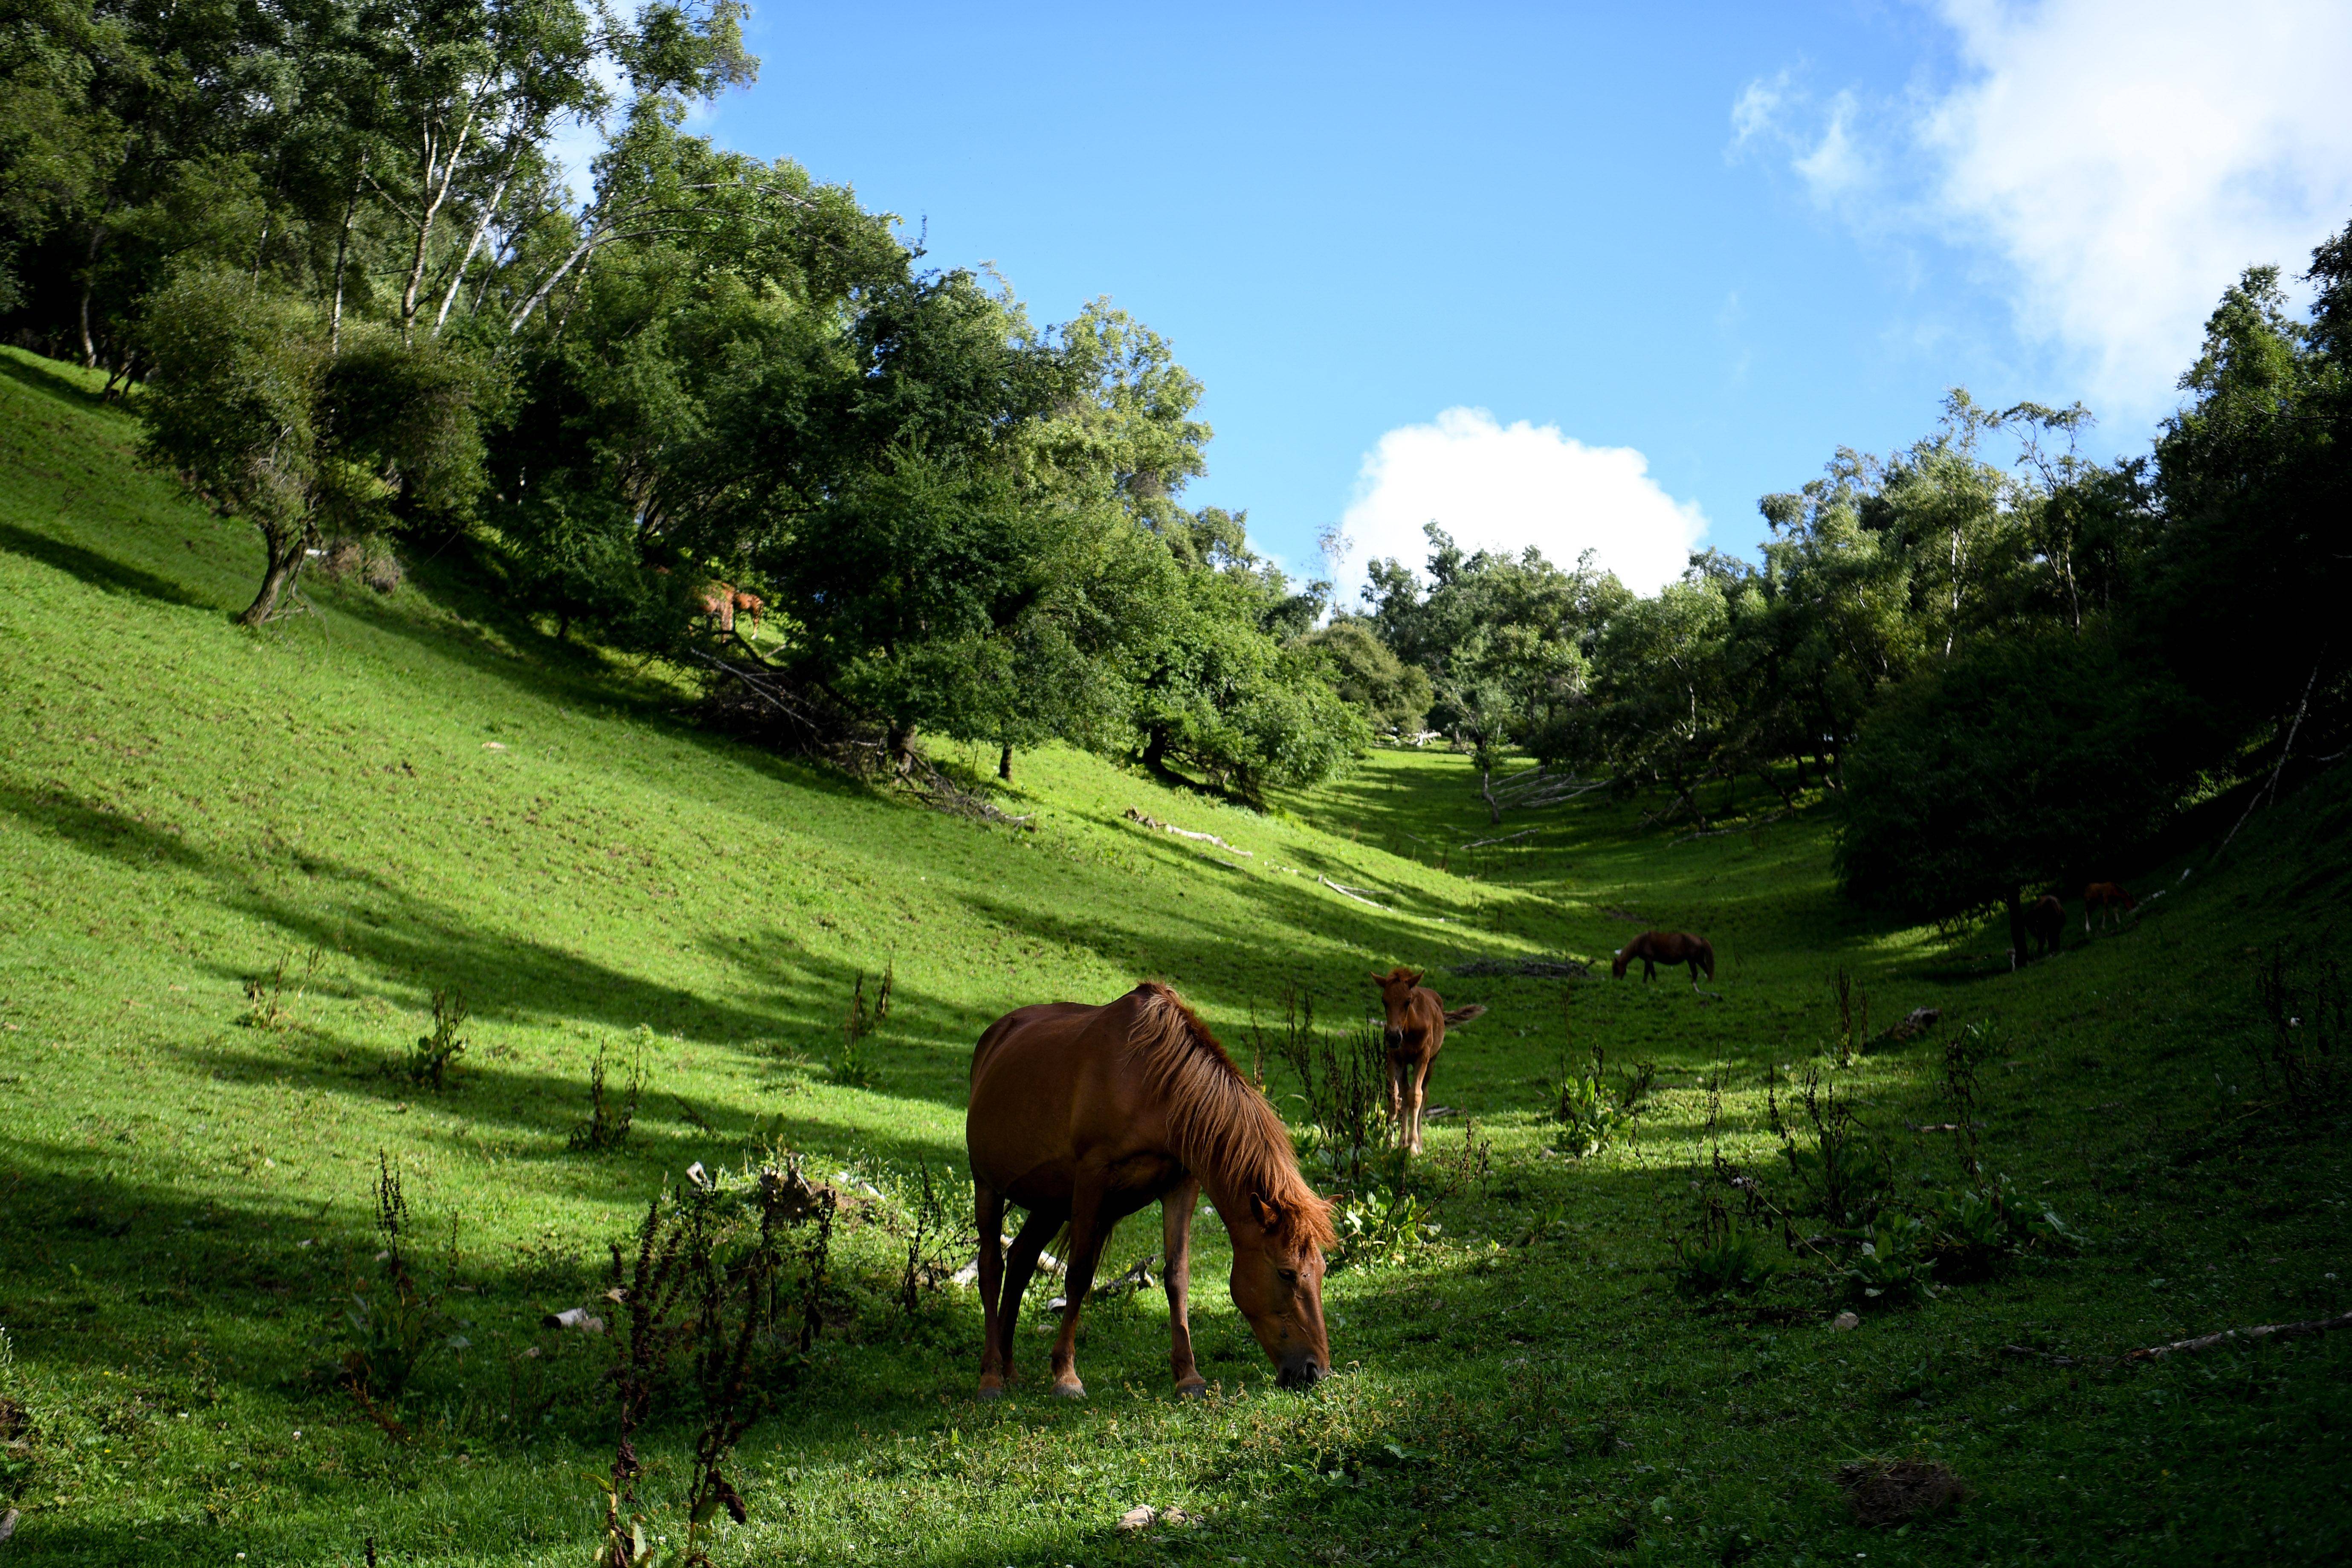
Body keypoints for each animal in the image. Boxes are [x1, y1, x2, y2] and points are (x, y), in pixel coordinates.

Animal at [964, 987, 1336, 1401]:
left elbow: (1177, 1276)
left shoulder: (1181, 1185)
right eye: (1287, 1273)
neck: (1153, 1084)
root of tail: (995, 1035)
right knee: (991, 1269)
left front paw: (1188, 1375)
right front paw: (1066, 1375)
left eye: (1322, 1270)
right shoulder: (1092, 1179)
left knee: (1020, 1261)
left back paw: (1010, 1370)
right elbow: (1078, 1275)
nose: (1315, 1371)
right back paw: (991, 1376)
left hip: (1050, 1203)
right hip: (988, 1187)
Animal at [1364, 964, 1486, 1161]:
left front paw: (1414, 1145)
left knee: (1424, 1093)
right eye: (1384, 1001)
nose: (1393, 1037)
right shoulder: (1395, 1058)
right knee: (1404, 1093)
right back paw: (1401, 1143)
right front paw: (1389, 1144)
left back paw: (1417, 1143)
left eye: (1408, 1001)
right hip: (1406, 1064)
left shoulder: (1422, 1057)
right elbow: (1395, 1098)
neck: (1409, 1030)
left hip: (1432, 1061)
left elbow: (1417, 1096)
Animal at [1608, 940, 1721, 987]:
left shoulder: (1649, 959)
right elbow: (1648, 972)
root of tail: (1701, 940)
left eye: (1616, 969)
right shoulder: (1648, 960)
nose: (1615, 980)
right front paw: (1645, 982)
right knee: (1707, 970)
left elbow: (1651, 972)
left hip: (1693, 960)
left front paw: (1653, 983)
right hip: (1698, 959)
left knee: (1696, 972)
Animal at [2088, 884, 2145, 931]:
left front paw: (2118, 922)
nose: (2134, 910)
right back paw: (2089, 928)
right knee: (2088, 913)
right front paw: (2103, 927)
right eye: (2132, 902)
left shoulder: (2114, 902)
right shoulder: (2106, 901)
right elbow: (2105, 913)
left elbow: (2115, 911)